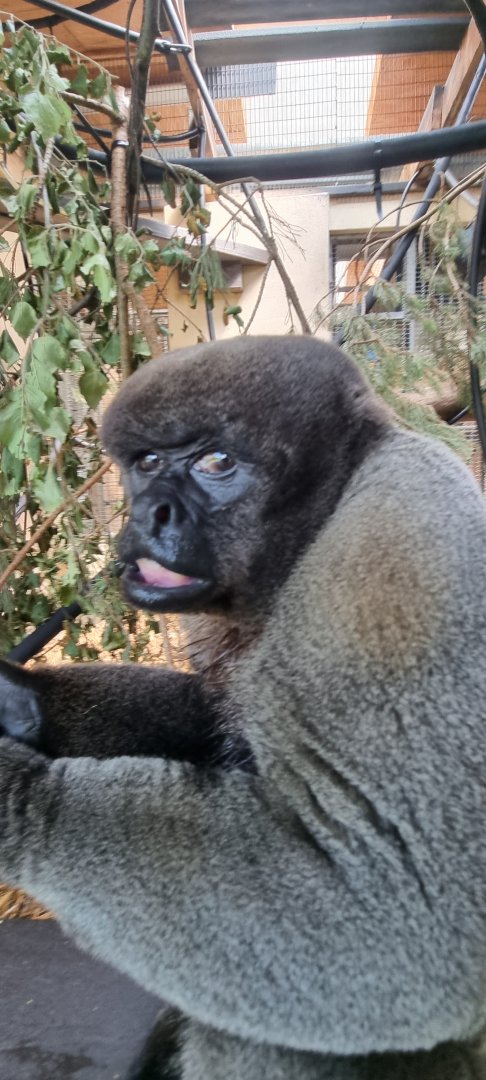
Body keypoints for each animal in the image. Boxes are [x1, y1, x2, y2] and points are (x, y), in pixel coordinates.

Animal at [1, 335, 486, 1080]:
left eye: (217, 463)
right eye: (146, 464)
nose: (148, 514)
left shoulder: (399, 568)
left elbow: (396, 915)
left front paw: (15, 794)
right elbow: (210, 722)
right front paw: (21, 701)